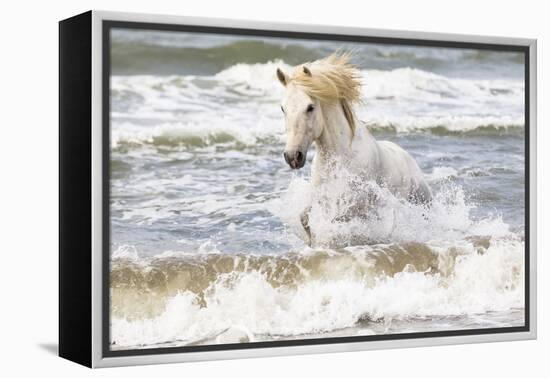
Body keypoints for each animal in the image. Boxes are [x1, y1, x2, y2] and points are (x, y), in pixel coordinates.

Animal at [278, 51, 434, 244]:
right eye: (283, 108)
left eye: (310, 107)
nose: (292, 156)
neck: (342, 156)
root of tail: (407, 157)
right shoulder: (321, 197)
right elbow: (304, 218)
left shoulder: (356, 205)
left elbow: (336, 222)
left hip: (421, 201)